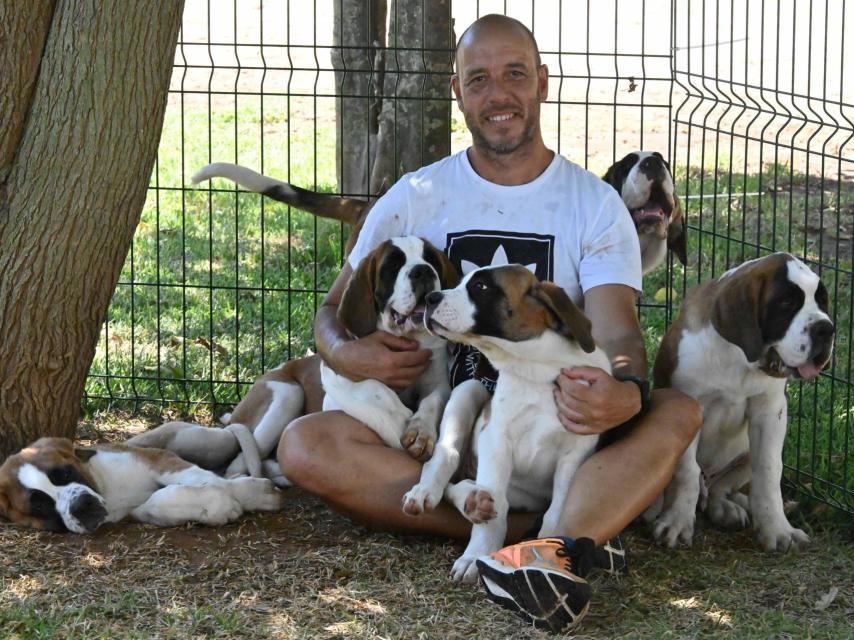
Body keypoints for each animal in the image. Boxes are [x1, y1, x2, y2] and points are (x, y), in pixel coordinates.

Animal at [0, 438, 288, 532]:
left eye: (66, 473)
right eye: (40, 506)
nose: (81, 506)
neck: (108, 488)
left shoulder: (157, 459)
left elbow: (200, 477)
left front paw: (250, 492)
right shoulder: (133, 512)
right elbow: (159, 502)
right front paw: (218, 505)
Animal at [420, 262, 608, 584]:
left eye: (481, 287)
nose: (430, 298)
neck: (537, 368)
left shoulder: (575, 453)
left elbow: (558, 510)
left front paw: (550, 552)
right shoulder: (495, 440)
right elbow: (494, 506)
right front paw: (475, 556)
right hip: (469, 390)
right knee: (450, 461)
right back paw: (443, 494)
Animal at [652, 252, 832, 552]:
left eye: (822, 301)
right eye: (787, 303)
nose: (826, 328)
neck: (738, 358)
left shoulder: (770, 411)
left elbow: (768, 471)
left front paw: (778, 529)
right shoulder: (688, 404)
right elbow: (686, 471)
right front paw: (676, 522)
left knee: (721, 489)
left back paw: (729, 508)